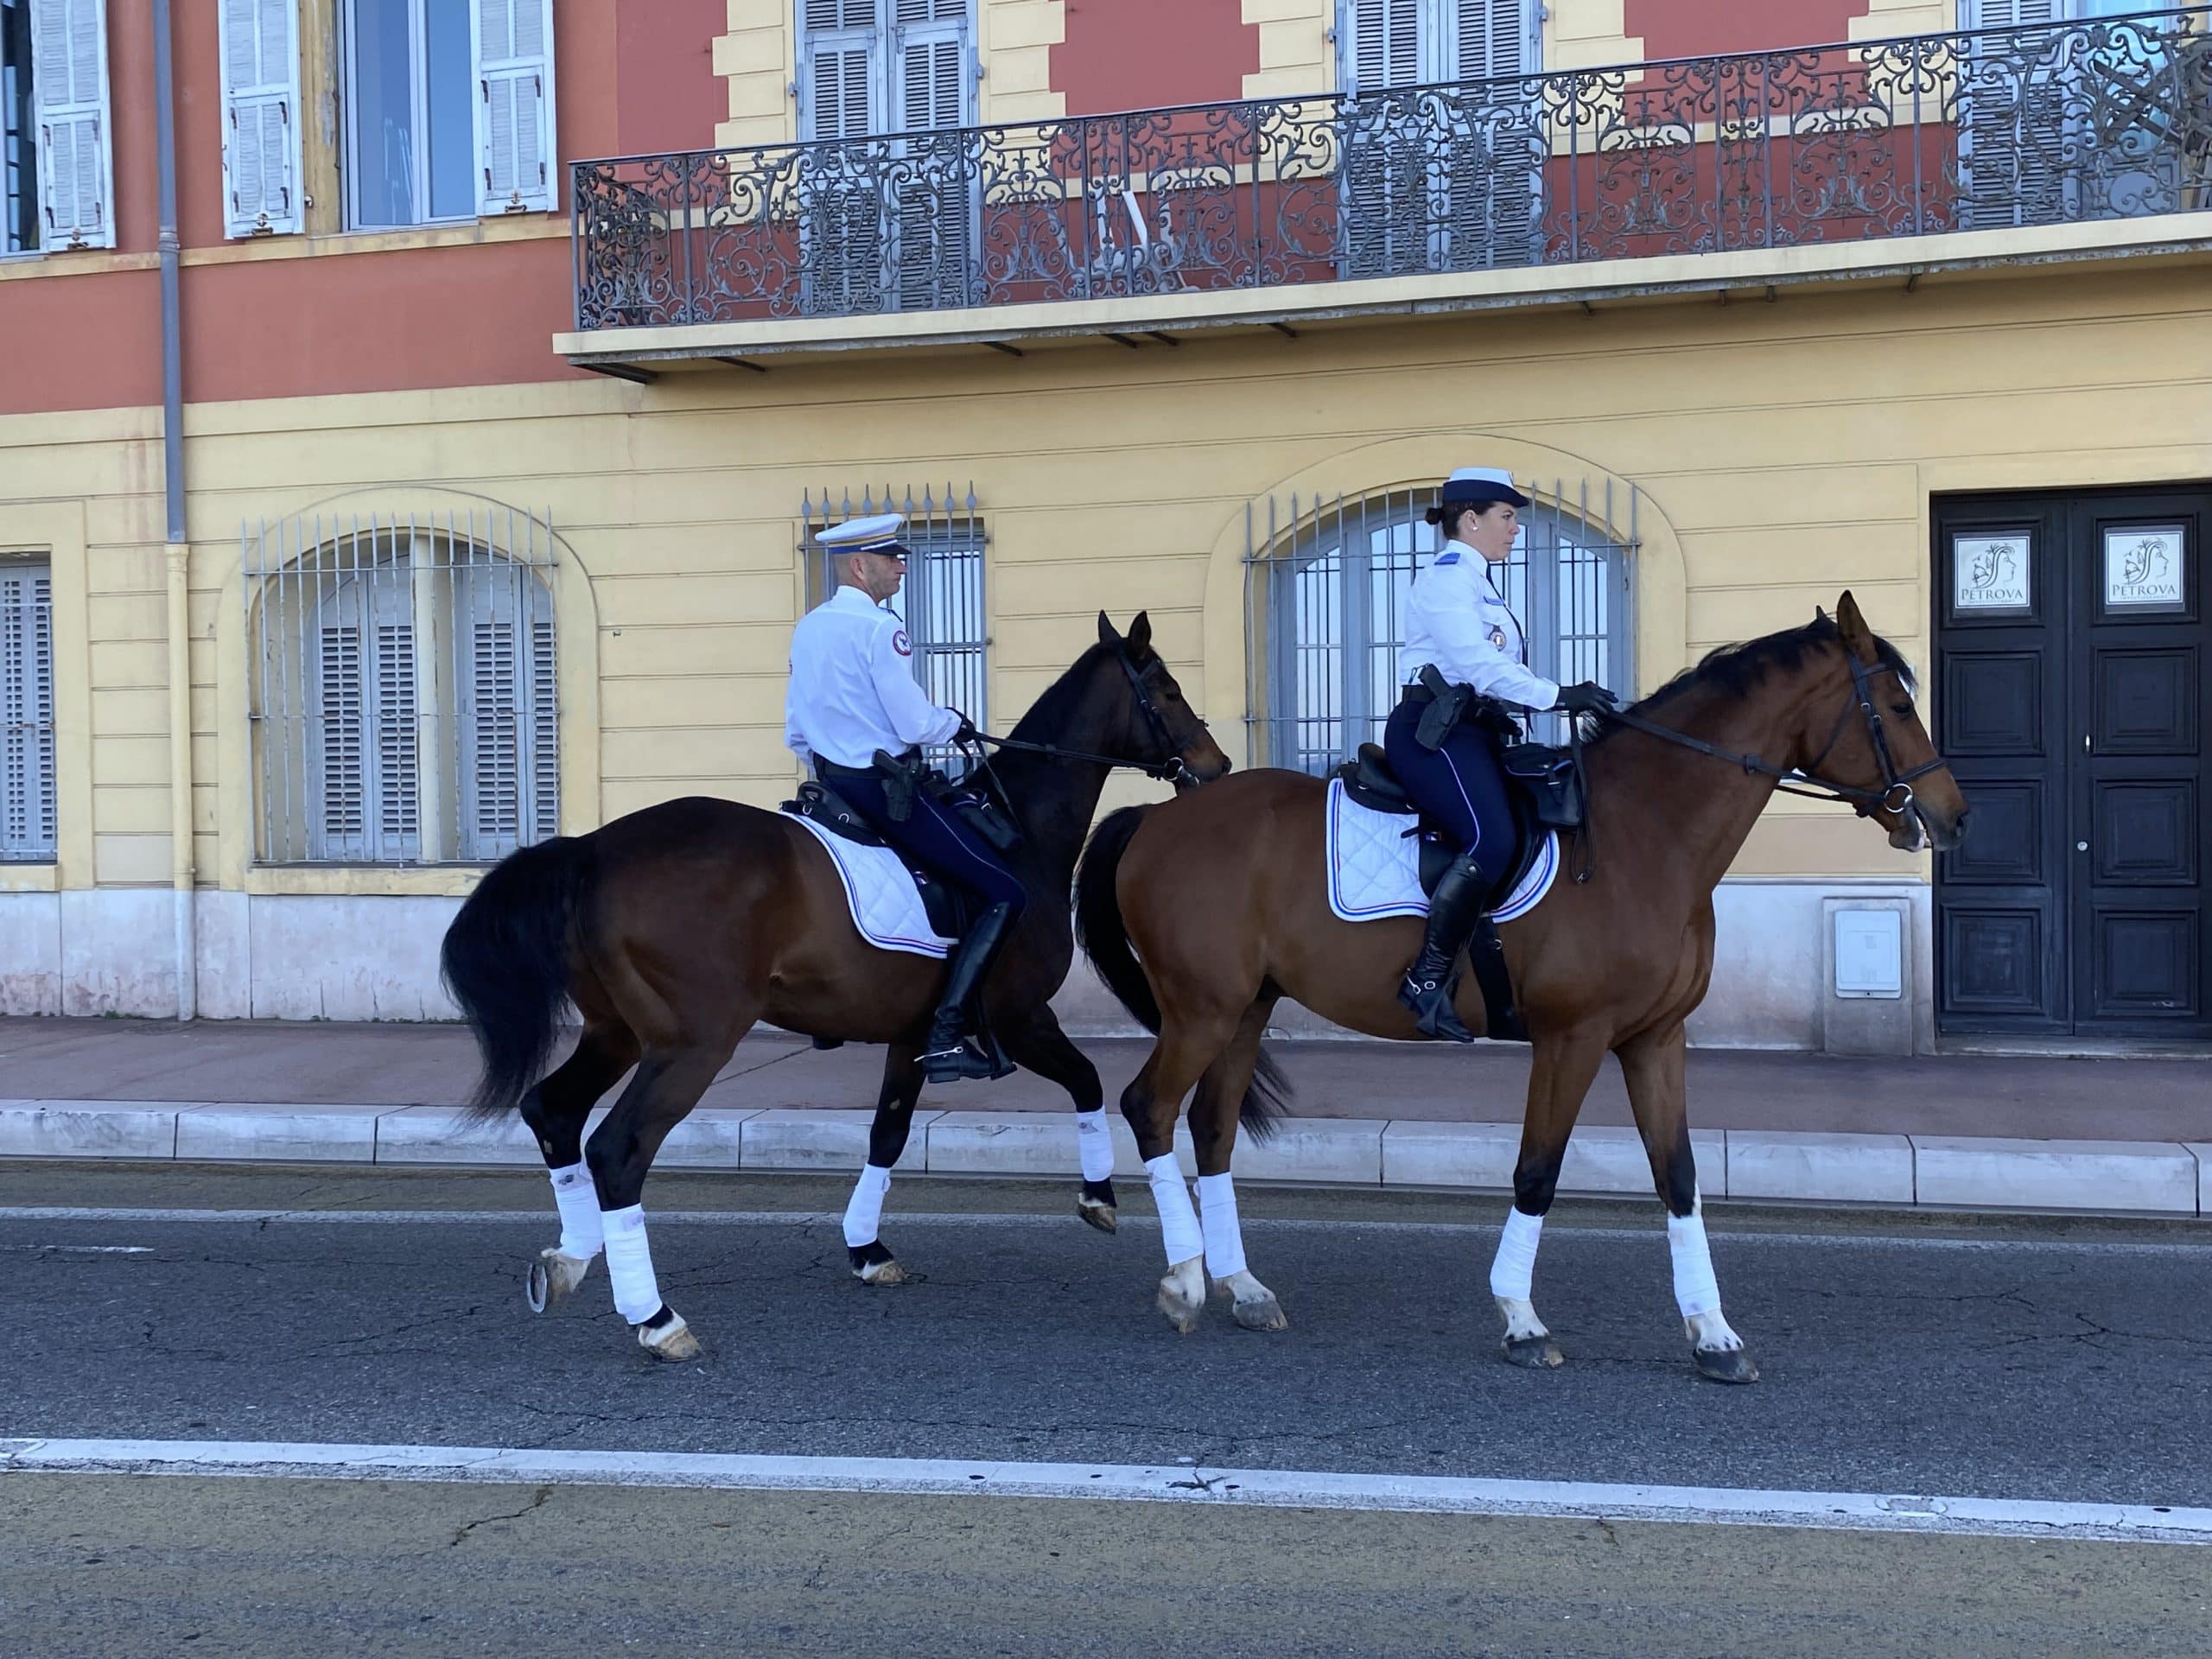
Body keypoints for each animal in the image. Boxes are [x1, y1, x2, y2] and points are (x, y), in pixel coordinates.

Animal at [440, 614, 1238, 1362]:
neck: (1018, 830)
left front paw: (867, 1249)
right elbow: (1087, 1082)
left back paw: (572, 1258)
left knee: (552, 1110)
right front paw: (1097, 1195)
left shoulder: (914, 1035)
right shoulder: (1019, 1015)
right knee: (618, 1149)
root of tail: (593, 851)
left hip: (618, 1034)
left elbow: (888, 1132)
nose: (1217, 764)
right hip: (691, 1043)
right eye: (1166, 688)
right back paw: (656, 1317)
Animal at [1071, 593, 1973, 1380]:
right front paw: (1521, 1320)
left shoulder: (1655, 1038)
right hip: (1201, 1009)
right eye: (1897, 704)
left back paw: (1242, 1288)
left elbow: (1678, 1176)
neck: (1644, 831)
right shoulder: (1573, 1037)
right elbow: (1538, 1171)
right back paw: (1186, 1280)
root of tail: (1157, 816)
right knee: (1150, 1108)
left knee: (1212, 1128)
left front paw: (1713, 1336)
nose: (1952, 814)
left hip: (1245, 1008)